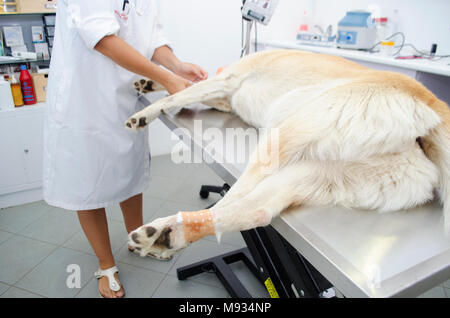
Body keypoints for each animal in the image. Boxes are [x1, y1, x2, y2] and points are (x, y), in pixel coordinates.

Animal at [125, 48, 450, 260]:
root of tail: (431, 102)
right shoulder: (223, 94)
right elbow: (188, 83)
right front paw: (150, 82)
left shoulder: (226, 80)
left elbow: (179, 93)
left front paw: (145, 112)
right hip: (318, 174)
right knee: (254, 210)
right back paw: (166, 235)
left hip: (287, 131)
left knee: (235, 195)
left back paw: (161, 235)